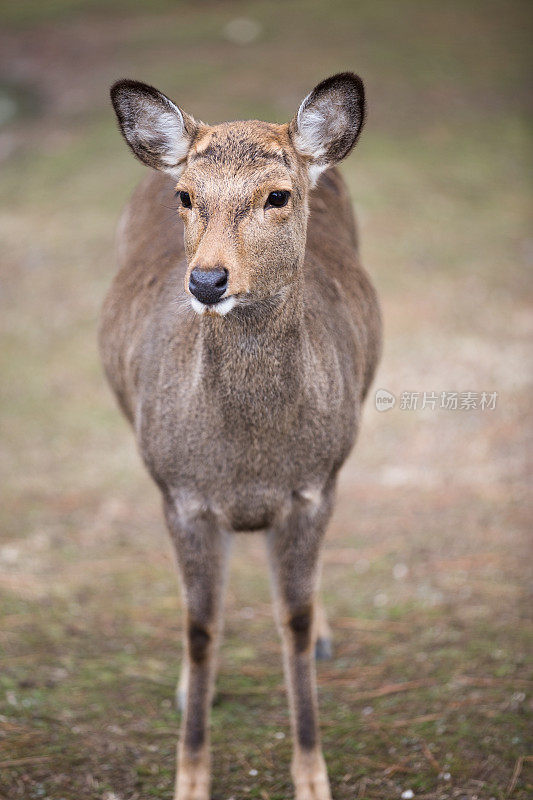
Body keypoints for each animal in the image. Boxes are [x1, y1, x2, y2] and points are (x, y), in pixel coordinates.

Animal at [100, 73, 380, 800]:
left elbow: (293, 623)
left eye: (277, 195)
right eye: (185, 197)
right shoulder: (180, 494)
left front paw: (312, 777)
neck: (248, 464)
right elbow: (201, 627)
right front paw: (189, 777)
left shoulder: (314, 486)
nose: (206, 279)